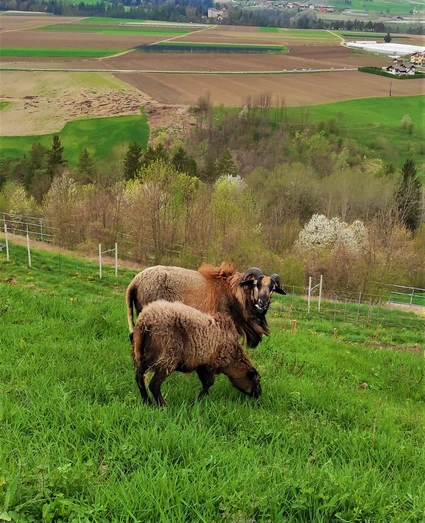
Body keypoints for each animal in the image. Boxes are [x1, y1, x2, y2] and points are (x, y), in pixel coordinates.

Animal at [131, 300, 260, 408]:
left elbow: (205, 383)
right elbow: (209, 383)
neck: (233, 356)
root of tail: (145, 320)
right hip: (167, 356)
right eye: (257, 381)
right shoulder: (211, 364)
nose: (259, 395)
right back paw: (163, 406)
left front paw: (202, 400)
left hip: (141, 355)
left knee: (139, 378)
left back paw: (147, 402)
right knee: (154, 384)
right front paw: (197, 402)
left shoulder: (201, 364)